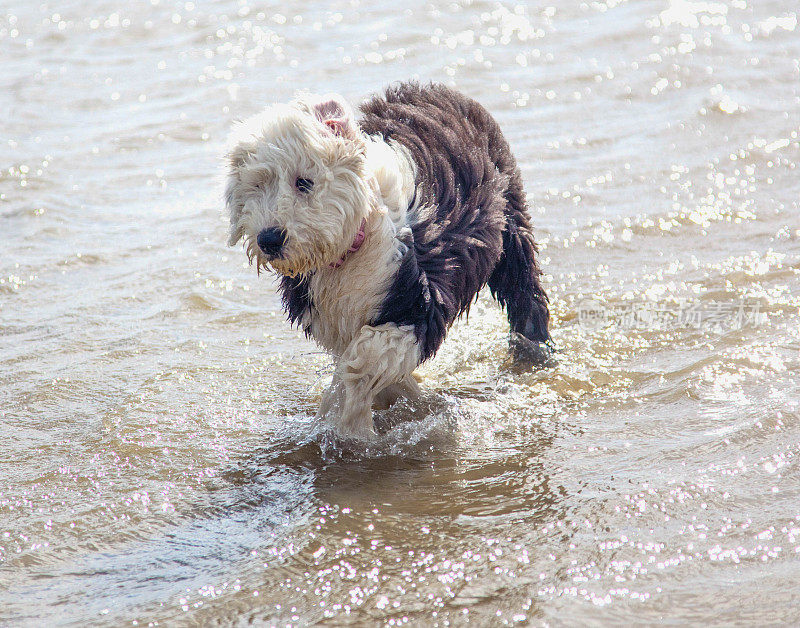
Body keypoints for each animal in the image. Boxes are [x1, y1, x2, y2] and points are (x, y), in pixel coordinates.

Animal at [223, 82, 552, 436]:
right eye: (258, 183)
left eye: (304, 182)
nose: (269, 239)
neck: (354, 244)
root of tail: (438, 89)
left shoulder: (417, 301)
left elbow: (363, 359)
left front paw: (349, 426)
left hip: (511, 224)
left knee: (524, 292)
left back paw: (535, 349)